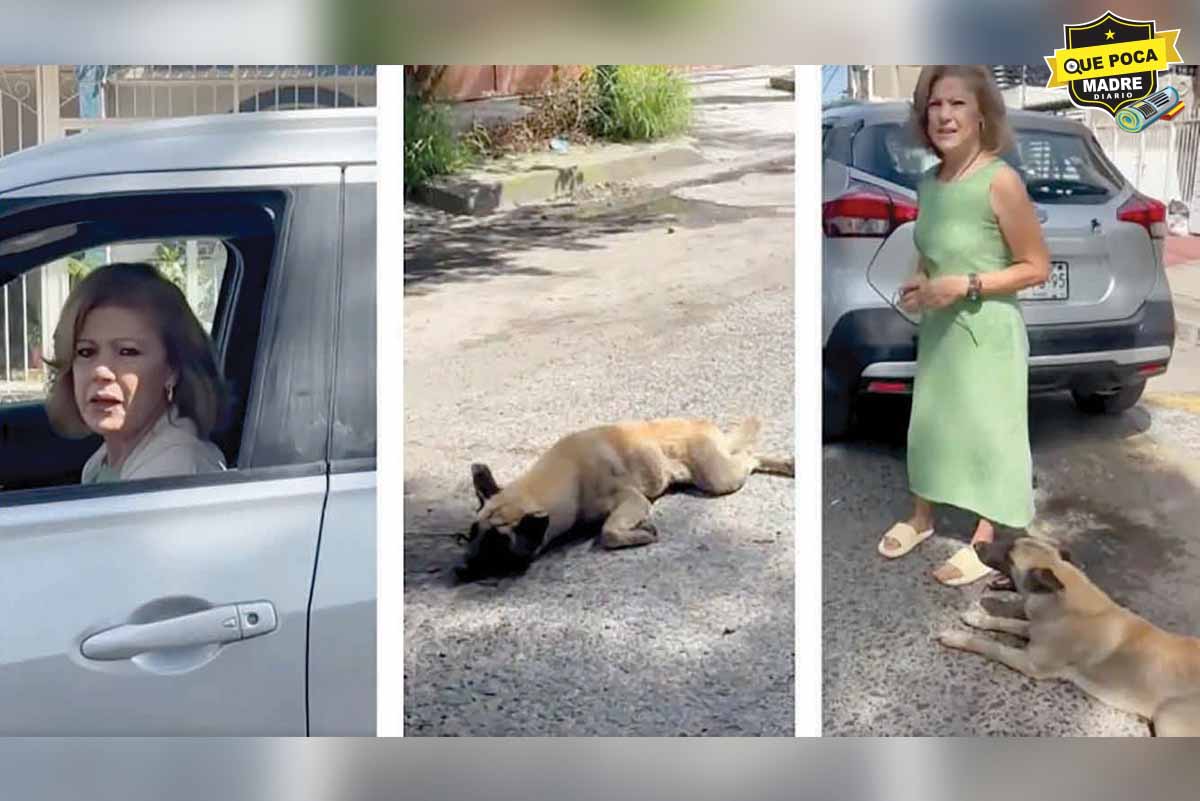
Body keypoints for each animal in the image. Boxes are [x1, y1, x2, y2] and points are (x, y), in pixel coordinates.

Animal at [453, 417, 792, 577]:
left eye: (497, 545)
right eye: (471, 533)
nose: (461, 567)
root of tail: (705, 425)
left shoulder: (632, 501)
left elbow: (609, 532)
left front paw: (639, 534)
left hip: (719, 479)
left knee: (750, 458)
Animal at [936, 534, 1200, 733]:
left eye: (1009, 556)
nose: (977, 544)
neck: (1063, 597)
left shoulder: (1030, 663)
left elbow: (992, 646)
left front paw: (957, 637)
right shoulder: (1034, 629)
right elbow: (1007, 622)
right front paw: (978, 618)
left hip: (1167, 718)